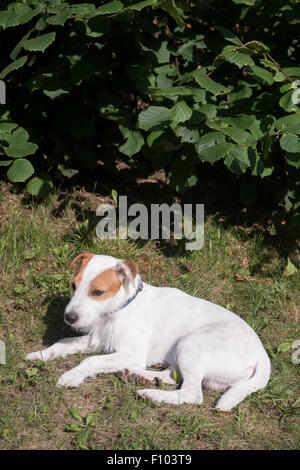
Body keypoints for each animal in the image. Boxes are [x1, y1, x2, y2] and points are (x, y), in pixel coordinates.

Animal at [25, 252, 272, 410]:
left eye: (97, 292)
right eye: (73, 286)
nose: (69, 317)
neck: (117, 311)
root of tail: (262, 356)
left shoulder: (130, 352)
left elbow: (91, 361)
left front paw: (71, 375)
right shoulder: (97, 339)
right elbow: (64, 342)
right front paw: (41, 354)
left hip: (192, 344)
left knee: (191, 394)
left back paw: (151, 394)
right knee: (171, 376)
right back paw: (141, 376)